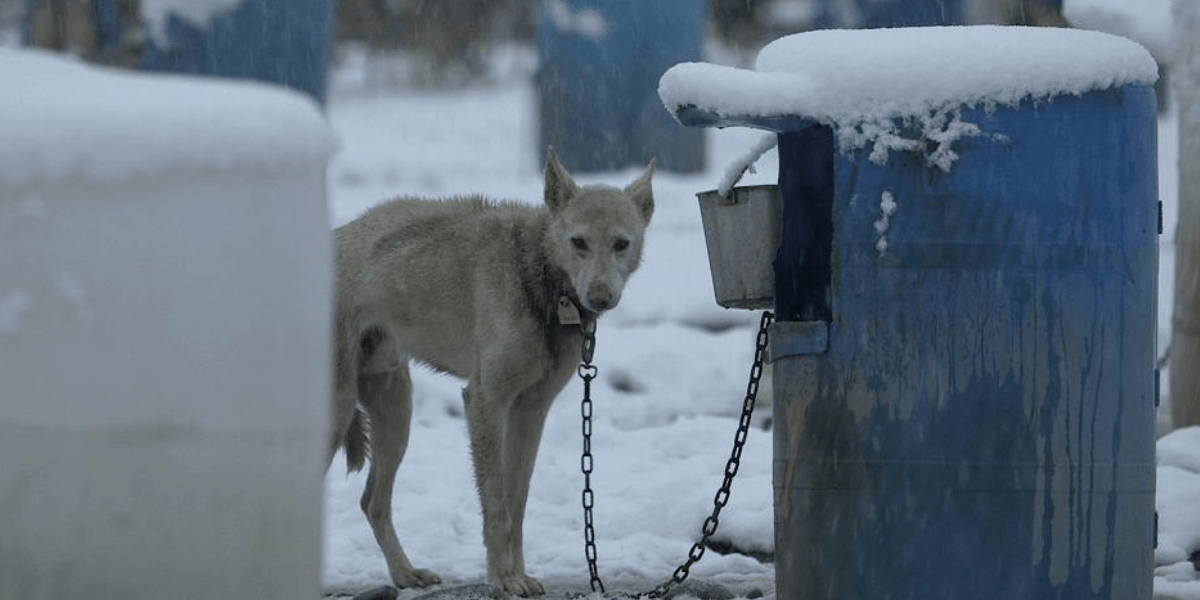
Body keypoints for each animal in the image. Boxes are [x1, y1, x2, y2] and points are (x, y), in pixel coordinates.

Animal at [331, 150, 657, 595]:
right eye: (579, 243)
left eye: (621, 244)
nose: (600, 298)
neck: (538, 276)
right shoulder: (486, 401)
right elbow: (496, 504)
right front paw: (503, 578)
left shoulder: (530, 410)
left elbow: (516, 504)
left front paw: (517, 574)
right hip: (336, 417)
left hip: (396, 418)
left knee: (372, 502)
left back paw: (405, 574)